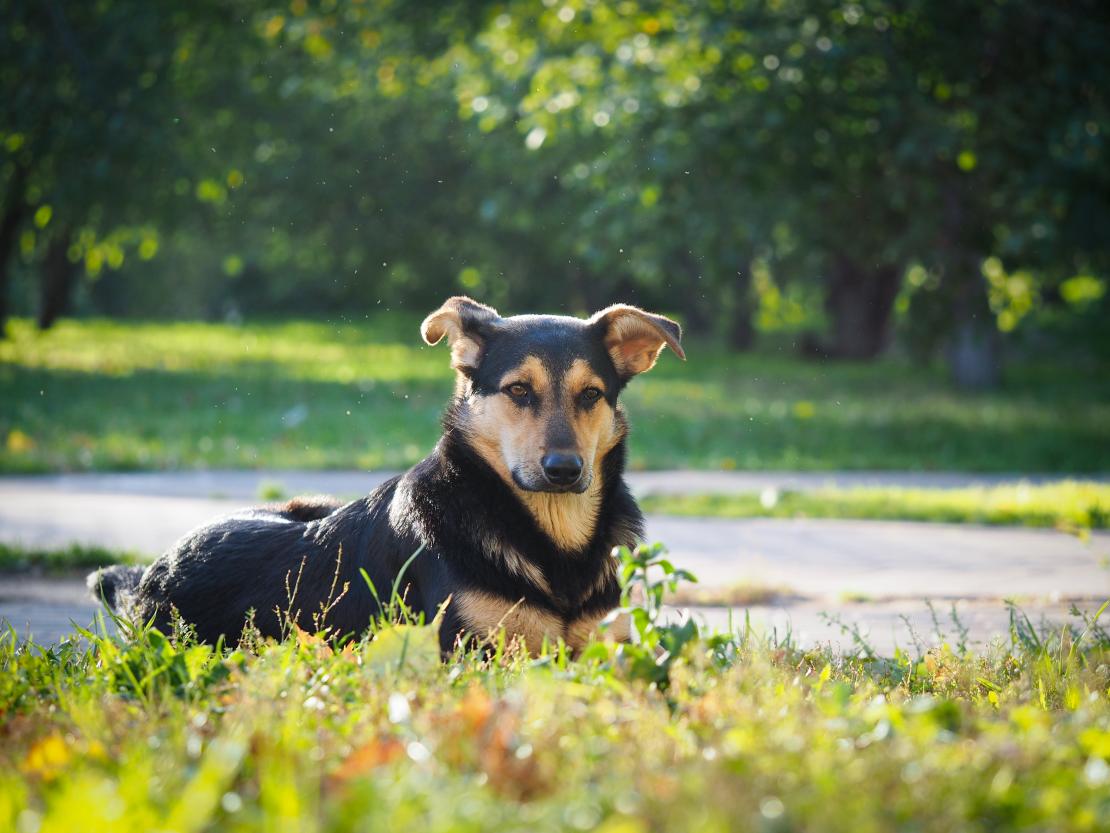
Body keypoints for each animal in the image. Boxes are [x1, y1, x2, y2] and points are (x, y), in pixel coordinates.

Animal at [91, 297, 683, 657]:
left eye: (591, 395)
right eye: (519, 390)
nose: (564, 470)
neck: (553, 541)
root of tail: (149, 576)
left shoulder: (611, 647)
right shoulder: (470, 655)